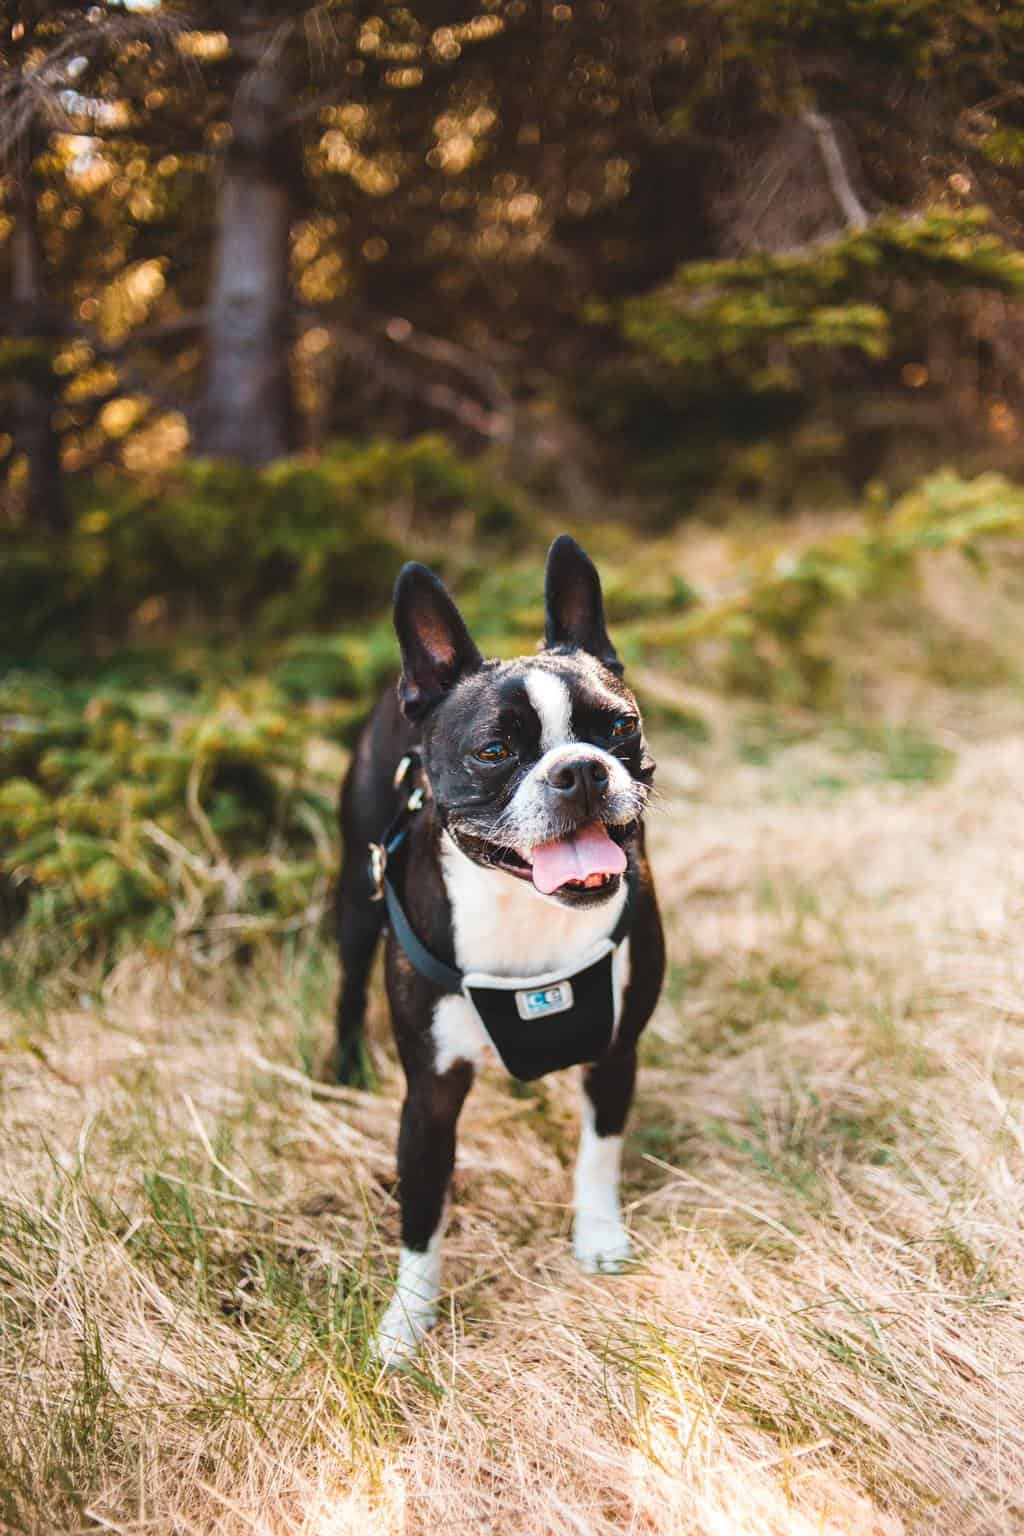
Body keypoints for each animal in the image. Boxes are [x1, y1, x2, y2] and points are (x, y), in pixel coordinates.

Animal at [337, 534, 666, 1363]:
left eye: (618, 728)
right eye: (493, 750)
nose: (579, 769)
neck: (527, 909)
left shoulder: (616, 1052)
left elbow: (598, 1155)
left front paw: (599, 1239)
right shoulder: (429, 1095)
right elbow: (422, 1217)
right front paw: (406, 1321)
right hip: (354, 896)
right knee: (346, 988)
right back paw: (342, 1066)